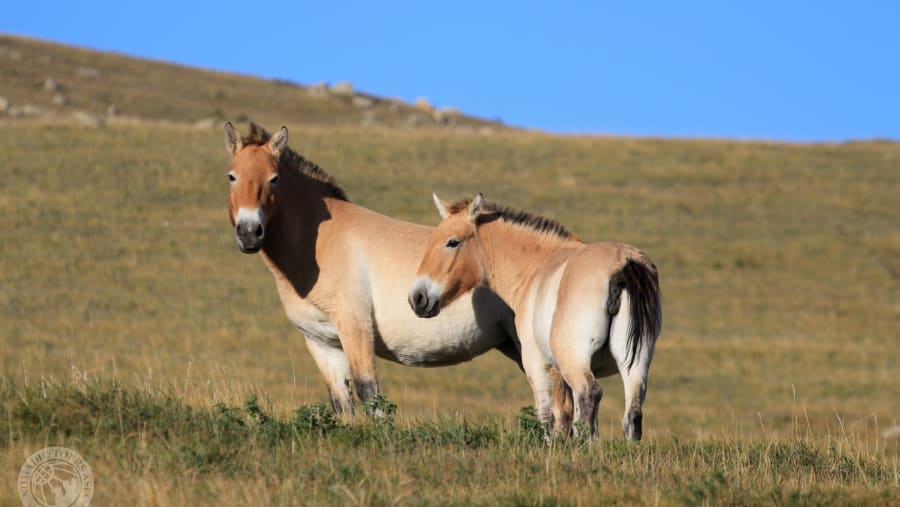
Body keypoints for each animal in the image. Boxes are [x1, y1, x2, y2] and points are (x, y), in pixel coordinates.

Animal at [223, 123, 520, 415]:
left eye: (274, 178)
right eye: (231, 176)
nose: (249, 233)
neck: (322, 243)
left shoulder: (356, 329)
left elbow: (370, 393)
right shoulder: (322, 343)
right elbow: (342, 404)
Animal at [409, 193, 662, 440]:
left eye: (452, 242)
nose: (417, 297)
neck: (538, 267)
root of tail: (623, 264)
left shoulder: (535, 361)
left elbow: (547, 414)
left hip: (575, 361)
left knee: (590, 395)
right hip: (635, 365)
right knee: (632, 413)